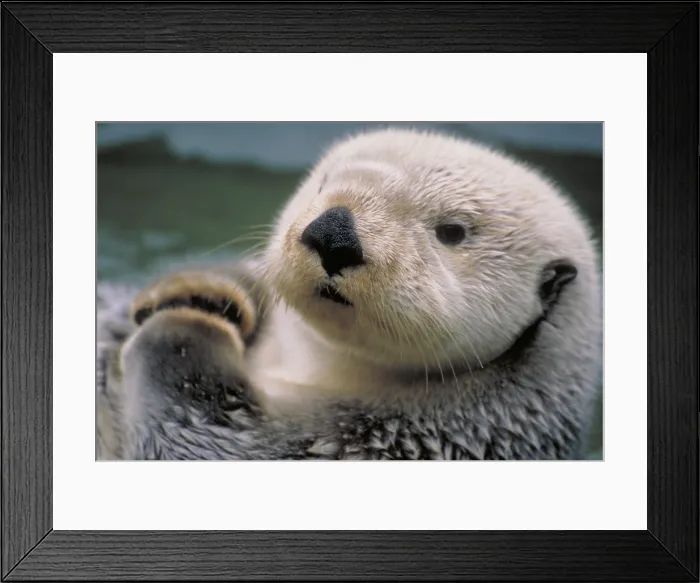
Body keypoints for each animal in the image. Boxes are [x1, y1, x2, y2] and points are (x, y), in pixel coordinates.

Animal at [96, 127, 602, 460]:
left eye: (453, 231)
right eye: (321, 184)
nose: (333, 232)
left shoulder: (392, 441)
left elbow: (207, 437)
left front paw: (183, 329)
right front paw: (195, 295)